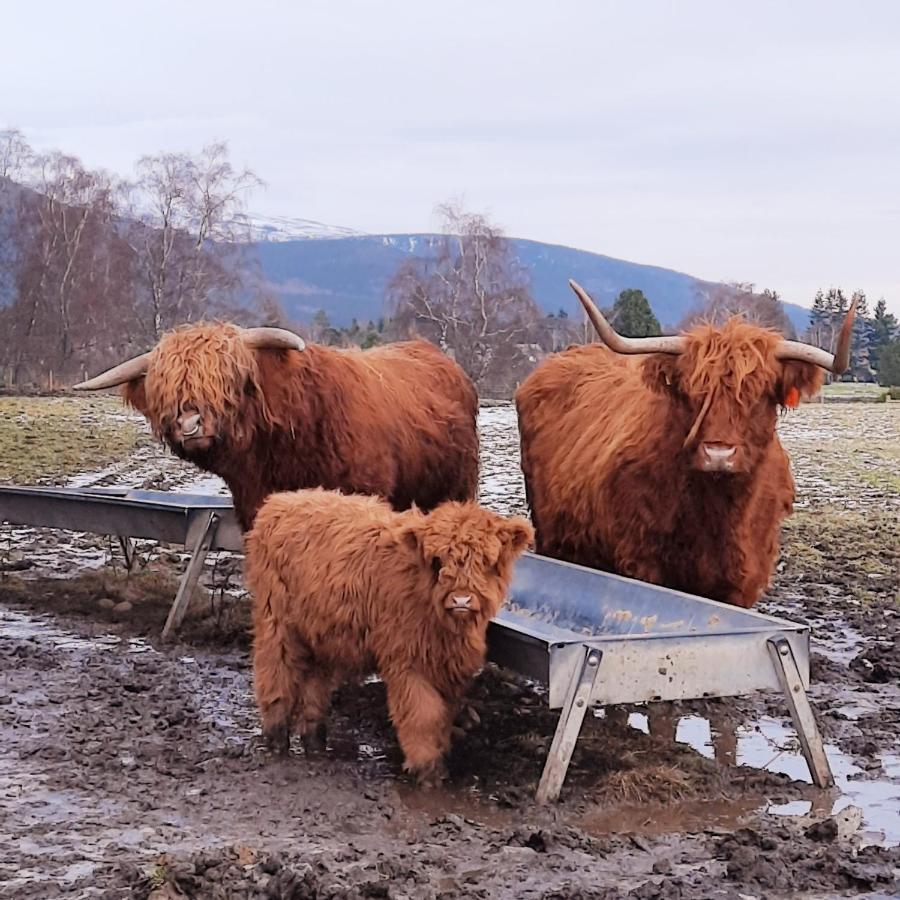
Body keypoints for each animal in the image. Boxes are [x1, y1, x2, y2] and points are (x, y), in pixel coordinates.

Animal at [243, 488, 532, 784]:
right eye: (437, 560)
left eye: (487, 561)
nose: (461, 599)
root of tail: (282, 499)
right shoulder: (407, 663)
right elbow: (423, 716)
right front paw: (427, 771)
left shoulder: (448, 667)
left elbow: (443, 717)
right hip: (276, 622)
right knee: (274, 672)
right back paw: (276, 739)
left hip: (320, 634)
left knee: (314, 685)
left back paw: (315, 743)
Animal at [512, 278, 856, 608]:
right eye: (693, 393)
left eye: (760, 396)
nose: (718, 454)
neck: (719, 511)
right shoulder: (642, 563)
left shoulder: (744, 580)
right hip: (550, 532)